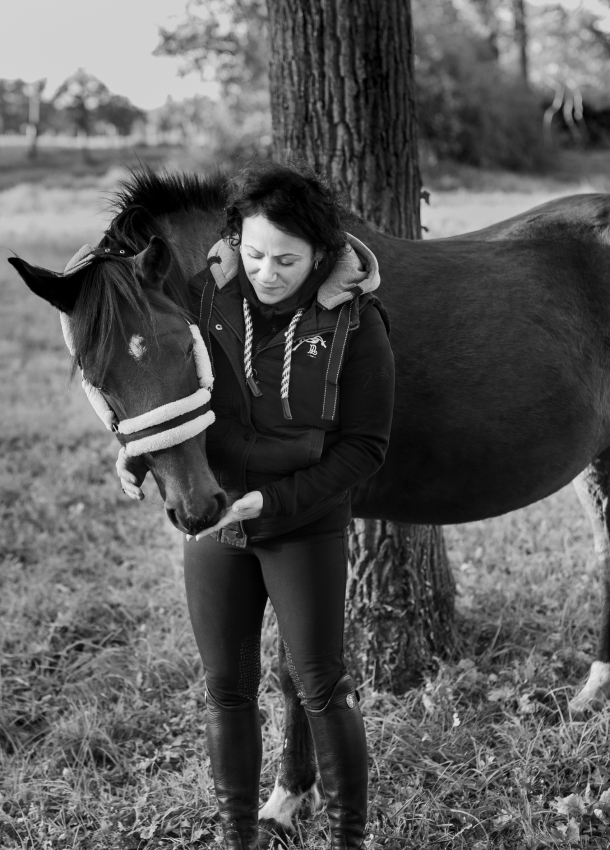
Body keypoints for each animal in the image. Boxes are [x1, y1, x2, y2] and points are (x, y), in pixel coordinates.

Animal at [9, 167, 610, 840]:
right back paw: (596, 689)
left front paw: (290, 794)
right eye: (96, 372)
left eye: (182, 345)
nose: (198, 508)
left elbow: (294, 669)